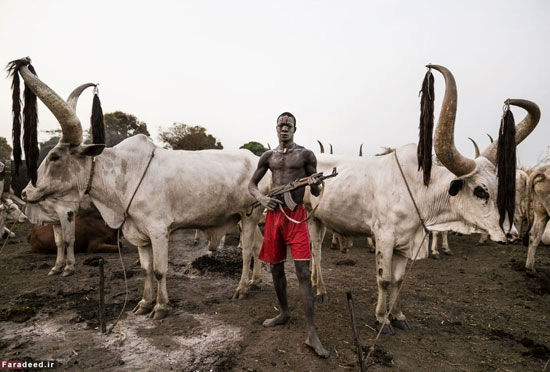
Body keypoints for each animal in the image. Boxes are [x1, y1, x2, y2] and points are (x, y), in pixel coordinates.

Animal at [12, 58, 270, 320]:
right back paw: (255, 281)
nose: (25, 192)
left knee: (247, 250)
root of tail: (256, 159)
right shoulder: (139, 235)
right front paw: (145, 303)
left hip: (249, 216)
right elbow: (146, 269)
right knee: (257, 245)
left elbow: (159, 270)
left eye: (55, 157)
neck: (124, 175)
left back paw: (242, 288)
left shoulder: (159, 231)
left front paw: (160, 306)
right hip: (244, 218)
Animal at [308, 64, 540, 334]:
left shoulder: (406, 242)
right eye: (480, 190)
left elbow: (398, 281)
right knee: (316, 252)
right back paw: (320, 291)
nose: (512, 234)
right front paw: (382, 318)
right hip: (310, 219)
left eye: (500, 185)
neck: (418, 190)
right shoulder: (384, 238)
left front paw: (397, 315)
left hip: (322, 220)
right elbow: (384, 279)